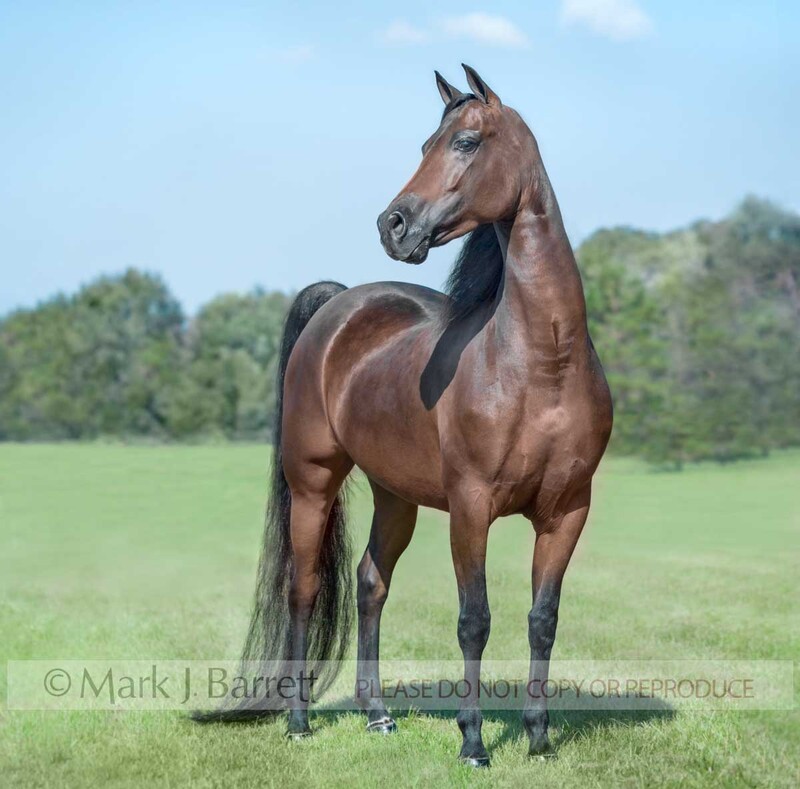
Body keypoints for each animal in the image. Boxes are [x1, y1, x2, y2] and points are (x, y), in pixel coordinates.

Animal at [195, 65, 613, 767]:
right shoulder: (471, 506)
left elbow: (542, 619)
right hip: (314, 483)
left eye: (466, 142)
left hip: (397, 496)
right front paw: (473, 743)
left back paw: (378, 715)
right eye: (425, 144)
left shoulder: (567, 511)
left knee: (369, 582)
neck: (540, 363)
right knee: (305, 588)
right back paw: (298, 721)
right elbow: (475, 620)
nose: (393, 224)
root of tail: (339, 306)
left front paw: (538, 738)